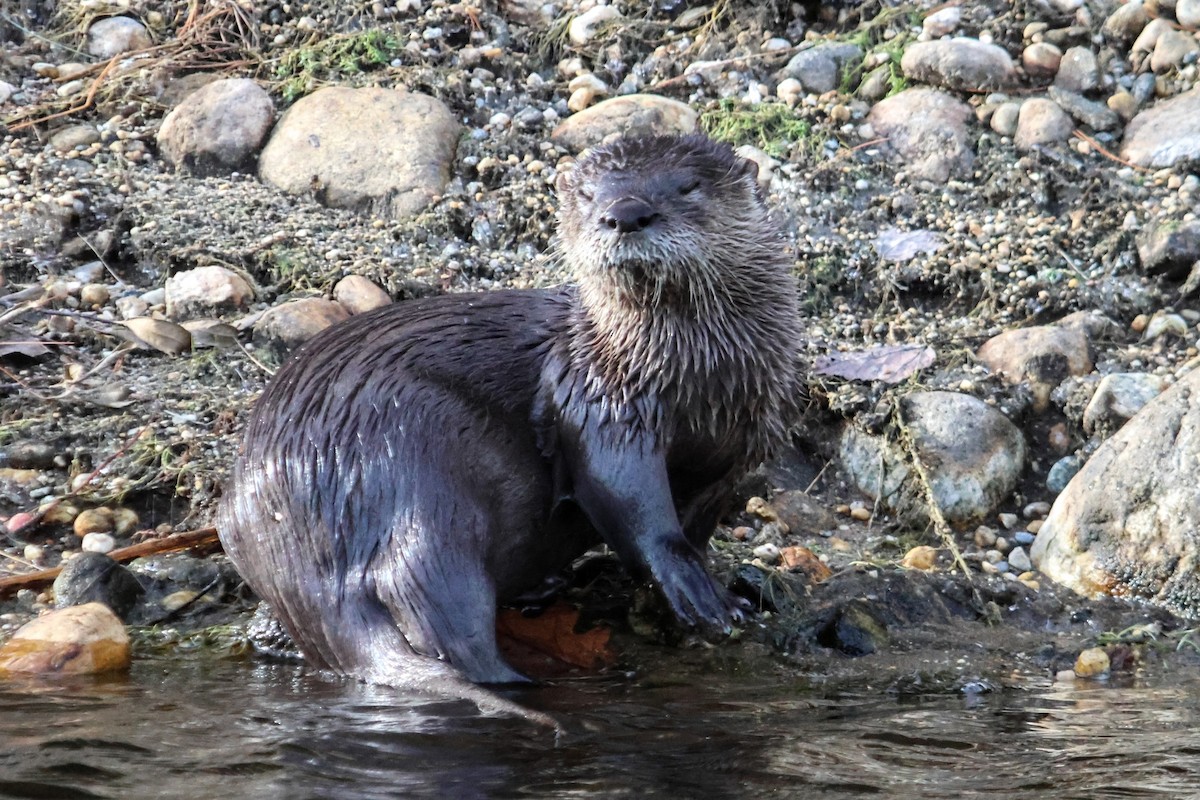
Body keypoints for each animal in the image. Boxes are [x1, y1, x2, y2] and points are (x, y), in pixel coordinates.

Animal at [217, 134, 800, 717]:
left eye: (688, 186)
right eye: (588, 195)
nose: (624, 214)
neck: (700, 379)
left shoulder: (740, 444)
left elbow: (699, 519)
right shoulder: (600, 401)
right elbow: (630, 501)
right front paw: (701, 596)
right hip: (421, 459)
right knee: (428, 595)